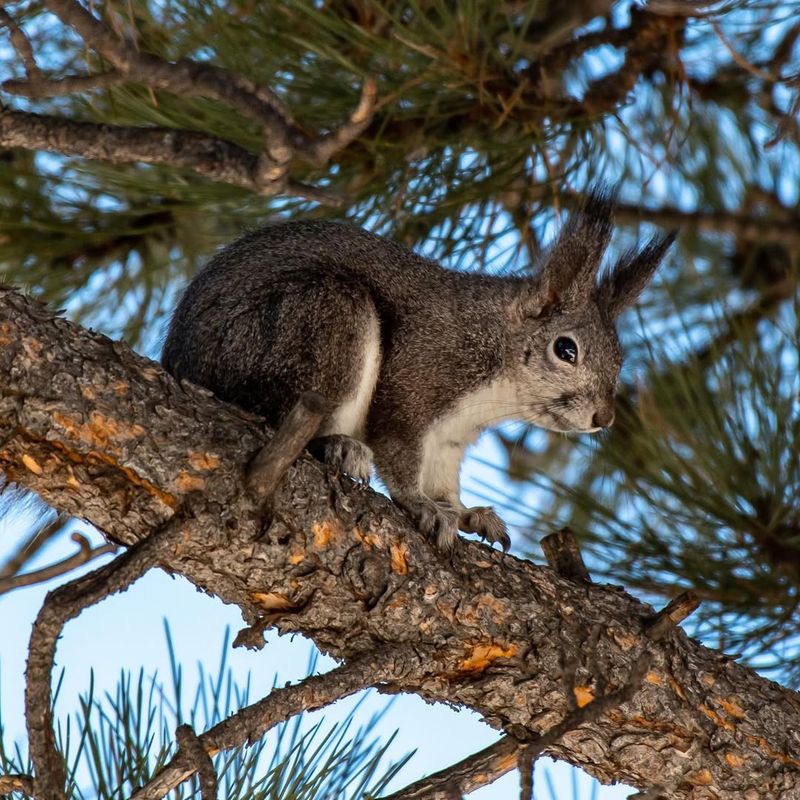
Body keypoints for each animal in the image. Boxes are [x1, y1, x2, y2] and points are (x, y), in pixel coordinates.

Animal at [162, 191, 676, 552]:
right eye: (565, 349)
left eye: (620, 359)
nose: (604, 418)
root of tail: (179, 361)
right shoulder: (416, 379)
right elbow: (399, 454)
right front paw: (421, 507)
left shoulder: (449, 440)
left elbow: (444, 482)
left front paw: (466, 513)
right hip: (318, 320)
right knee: (274, 409)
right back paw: (337, 445)